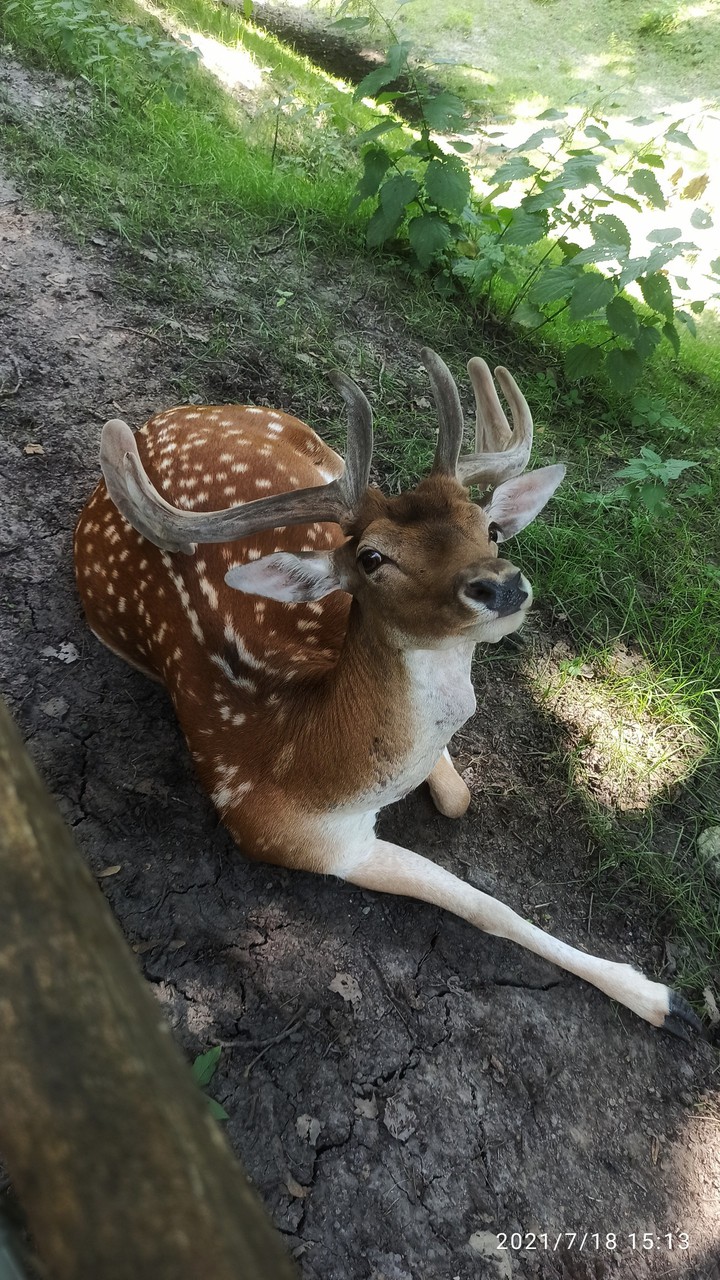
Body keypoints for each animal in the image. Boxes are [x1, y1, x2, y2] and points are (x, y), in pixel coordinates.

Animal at [74, 347, 700, 1039]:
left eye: (490, 527)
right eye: (372, 558)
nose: (502, 585)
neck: (300, 756)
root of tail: (176, 412)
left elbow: (458, 798)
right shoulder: (299, 842)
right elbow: (485, 906)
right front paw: (664, 999)